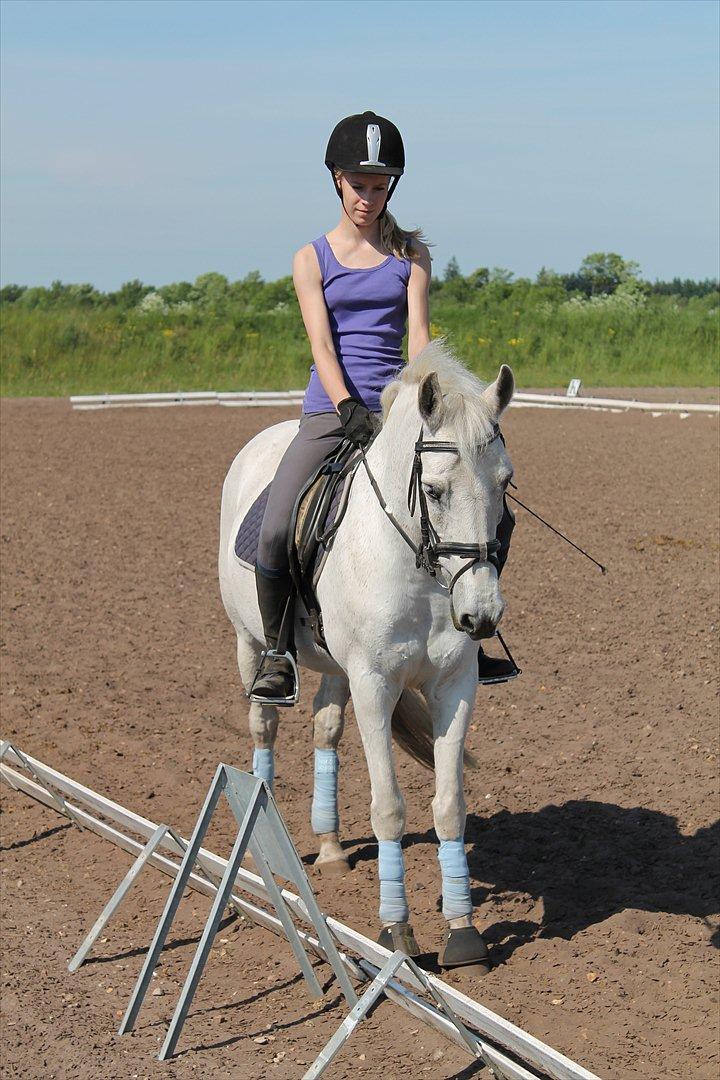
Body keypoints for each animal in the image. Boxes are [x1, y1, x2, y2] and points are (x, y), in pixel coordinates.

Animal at [216, 341, 515, 967]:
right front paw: (396, 931)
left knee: (325, 729)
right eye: (435, 490)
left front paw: (463, 932)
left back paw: (329, 847)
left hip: (335, 667)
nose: (481, 615)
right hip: (249, 643)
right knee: (263, 724)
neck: (420, 570)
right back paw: (265, 837)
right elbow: (390, 808)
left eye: (505, 482)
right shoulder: (376, 685)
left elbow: (449, 804)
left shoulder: (454, 687)